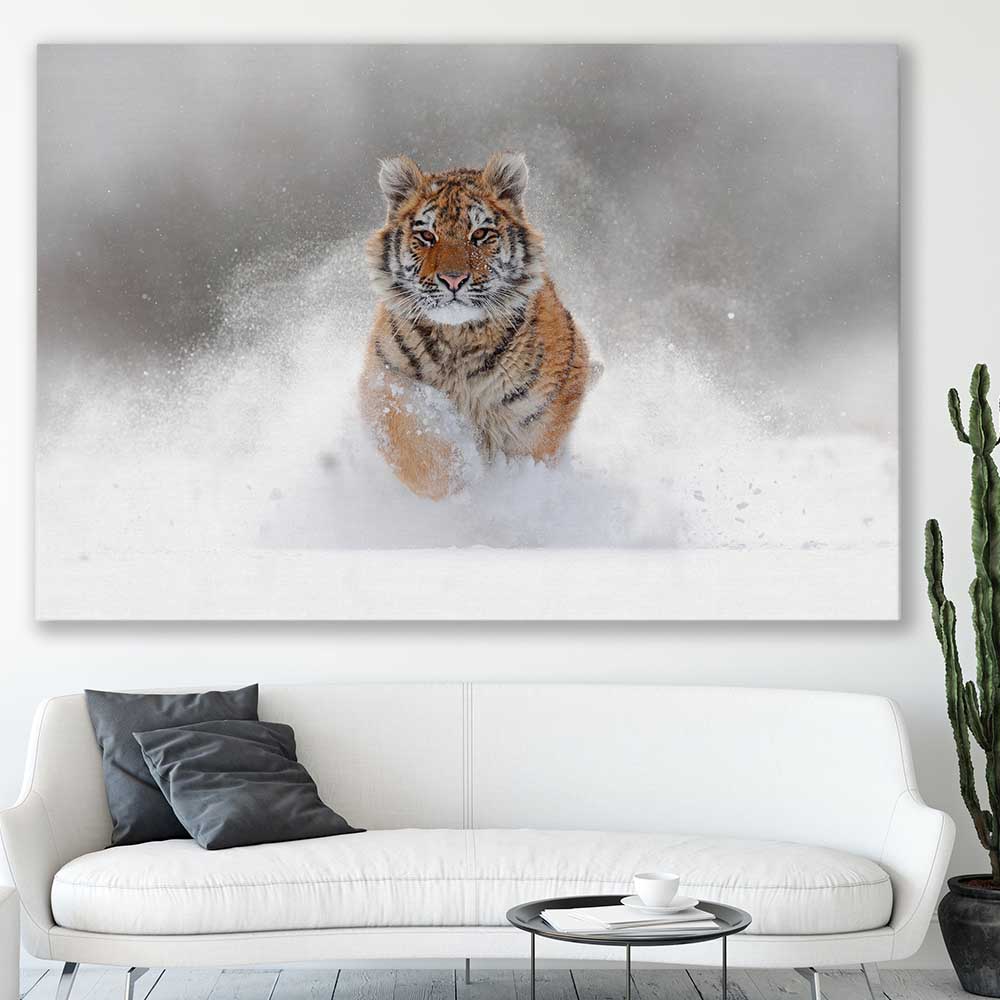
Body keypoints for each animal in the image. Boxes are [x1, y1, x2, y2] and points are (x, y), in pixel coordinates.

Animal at [359, 151, 597, 501]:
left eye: (480, 234)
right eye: (427, 236)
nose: (453, 279)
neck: (458, 338)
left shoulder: (541, 411)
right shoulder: (384, 379)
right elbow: (414, 442)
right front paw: (457, 482)